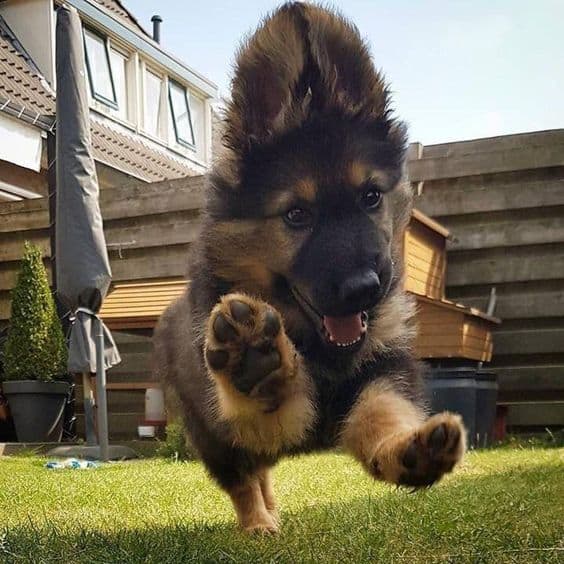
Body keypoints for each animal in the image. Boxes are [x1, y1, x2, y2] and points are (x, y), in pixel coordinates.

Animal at [152, 2, 464, 532]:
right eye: (297, 215)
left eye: (370, 197)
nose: (364, 289)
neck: (317, 349)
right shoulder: (247, 423)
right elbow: (264, 412)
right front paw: (253, 360)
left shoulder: (384, 368)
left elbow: (381, 413)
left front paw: (409, 450)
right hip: (209, 432)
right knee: (244, 477)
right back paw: (257, 522)